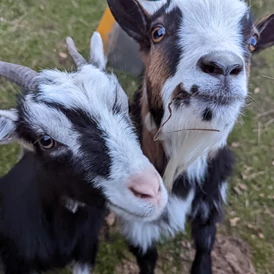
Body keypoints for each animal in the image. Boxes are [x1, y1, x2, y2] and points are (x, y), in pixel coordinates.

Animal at [107, 0, 274, 272]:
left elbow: (204, 249)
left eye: (253, 40)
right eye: (157, 32)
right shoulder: (139, 223)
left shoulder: (211, 204)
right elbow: (147, 259)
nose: (223, 65)